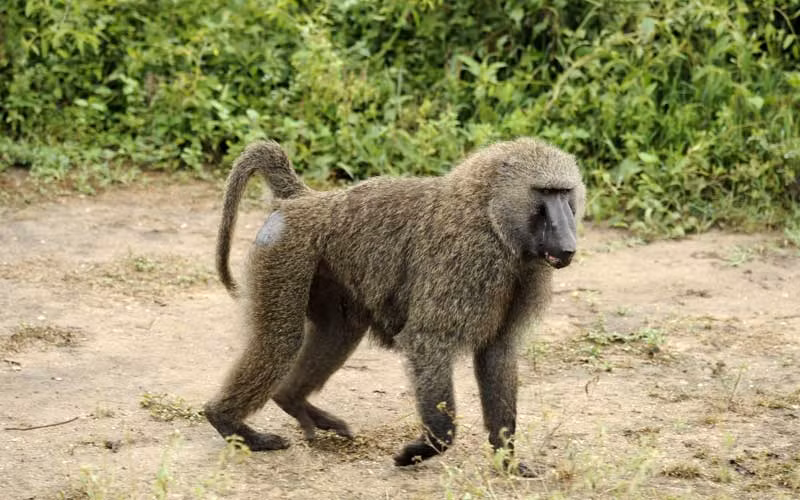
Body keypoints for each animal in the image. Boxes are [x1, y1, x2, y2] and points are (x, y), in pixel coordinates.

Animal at [203, 137, 585, 476]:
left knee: (337, 332)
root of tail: (305, 199)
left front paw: (506, 462)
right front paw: (424, 448)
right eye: (545, 193)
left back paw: (292, 401)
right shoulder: (469, 262)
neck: (489, 213)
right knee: (281, 340)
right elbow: (427, 341)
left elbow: (498, 354)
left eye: (564, 194)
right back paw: (230, 423)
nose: (567, 245)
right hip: (285, 252)